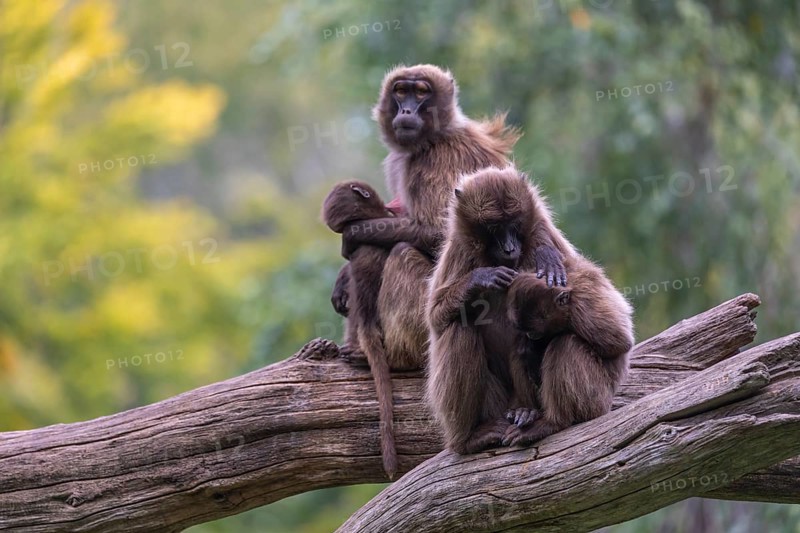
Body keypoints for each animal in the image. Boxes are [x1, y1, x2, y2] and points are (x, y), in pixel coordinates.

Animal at [426, 166, 576, 454]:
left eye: (514, 225)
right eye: (494, 228)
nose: (509, 248)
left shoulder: (540, 227)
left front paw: (545, 255)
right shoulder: (459, 247)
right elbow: (435, 318)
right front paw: (480, 279)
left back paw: (527, 413)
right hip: (494, 404)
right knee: (459, 325)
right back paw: (467, 438)